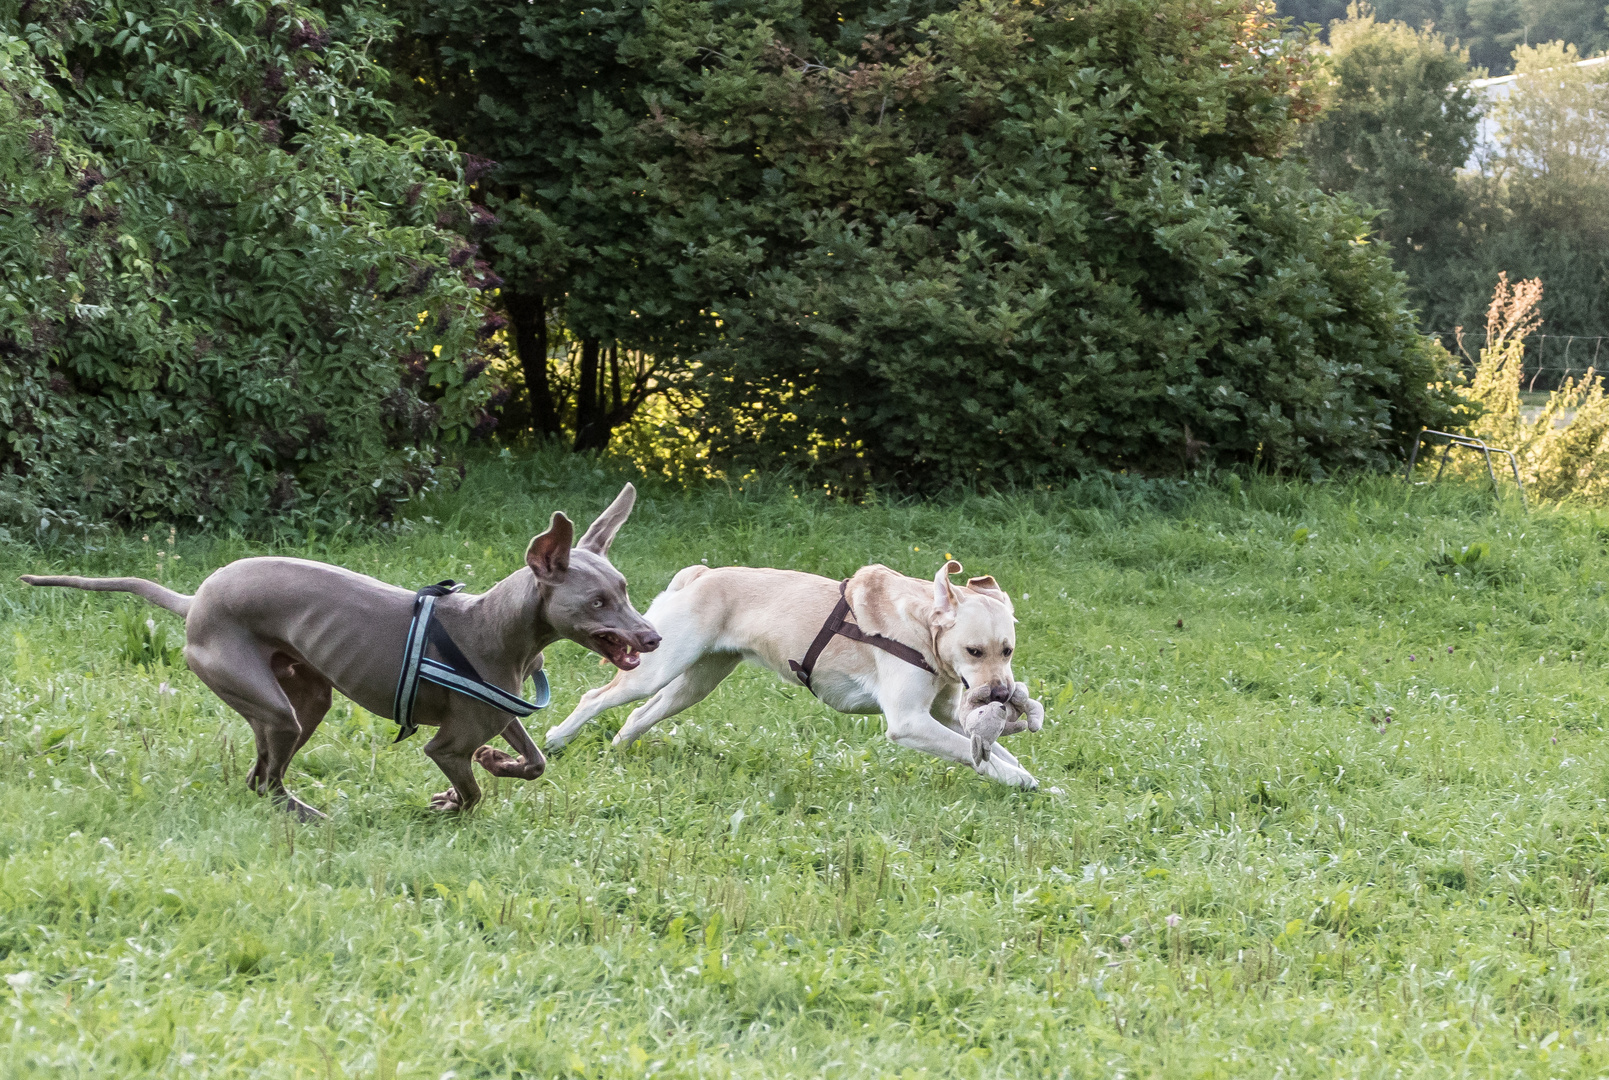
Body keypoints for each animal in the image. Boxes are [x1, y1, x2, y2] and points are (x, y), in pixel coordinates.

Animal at [20, 486, 659, 814]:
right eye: (598, 601)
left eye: (624, 590)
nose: (652, 637)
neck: (497, 628)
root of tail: (195, 598)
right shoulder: (445, 744)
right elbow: (471, 791)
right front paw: (451, 800)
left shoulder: (499, 716)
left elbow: (534, 761)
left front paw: (499, 763)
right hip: (269, 703)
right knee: (268, 782)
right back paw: (311, 817)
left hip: (303, 700)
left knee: (258, 777)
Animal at [543, 563, 1042, 788]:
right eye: (974, 650)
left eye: (1008, 650)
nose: (1001, 695)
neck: (921, 628)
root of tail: (699, 574)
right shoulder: (910, 723)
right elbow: (971, 752)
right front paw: (1019, 781)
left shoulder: (943, 712)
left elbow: (995, 749)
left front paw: (1035, 780)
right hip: (659, 668)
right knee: (595, 698)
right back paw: (555, 741)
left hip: (694, 684)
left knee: (638, 715)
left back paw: (618, 751)